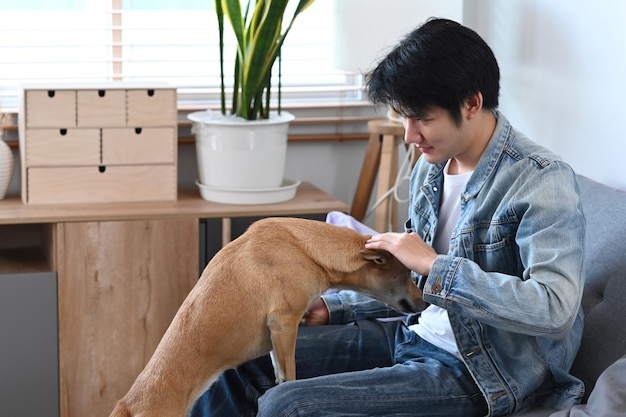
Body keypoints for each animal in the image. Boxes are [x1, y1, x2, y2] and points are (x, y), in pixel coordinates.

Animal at [108, 216, 424, 414]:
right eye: (407, 274)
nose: (425, 301)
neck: (305, 248)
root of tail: (127, 405)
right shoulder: (285, 323)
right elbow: (290, 374)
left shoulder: (277, 336)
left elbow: (278, 371)